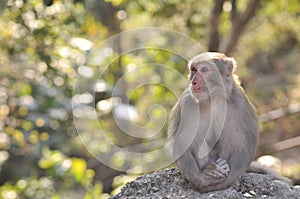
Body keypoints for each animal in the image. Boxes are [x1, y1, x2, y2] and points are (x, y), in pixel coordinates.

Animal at [168, 51, 258, 193]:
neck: (213, 98)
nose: (194, 82)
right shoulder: (187, 103)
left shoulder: (241, 103)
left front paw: (227, 181)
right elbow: (183, 143)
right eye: (194, 69)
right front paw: (202, 181)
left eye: (204, 70)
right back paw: (209, 169)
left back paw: (222, 165)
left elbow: (243, 146)